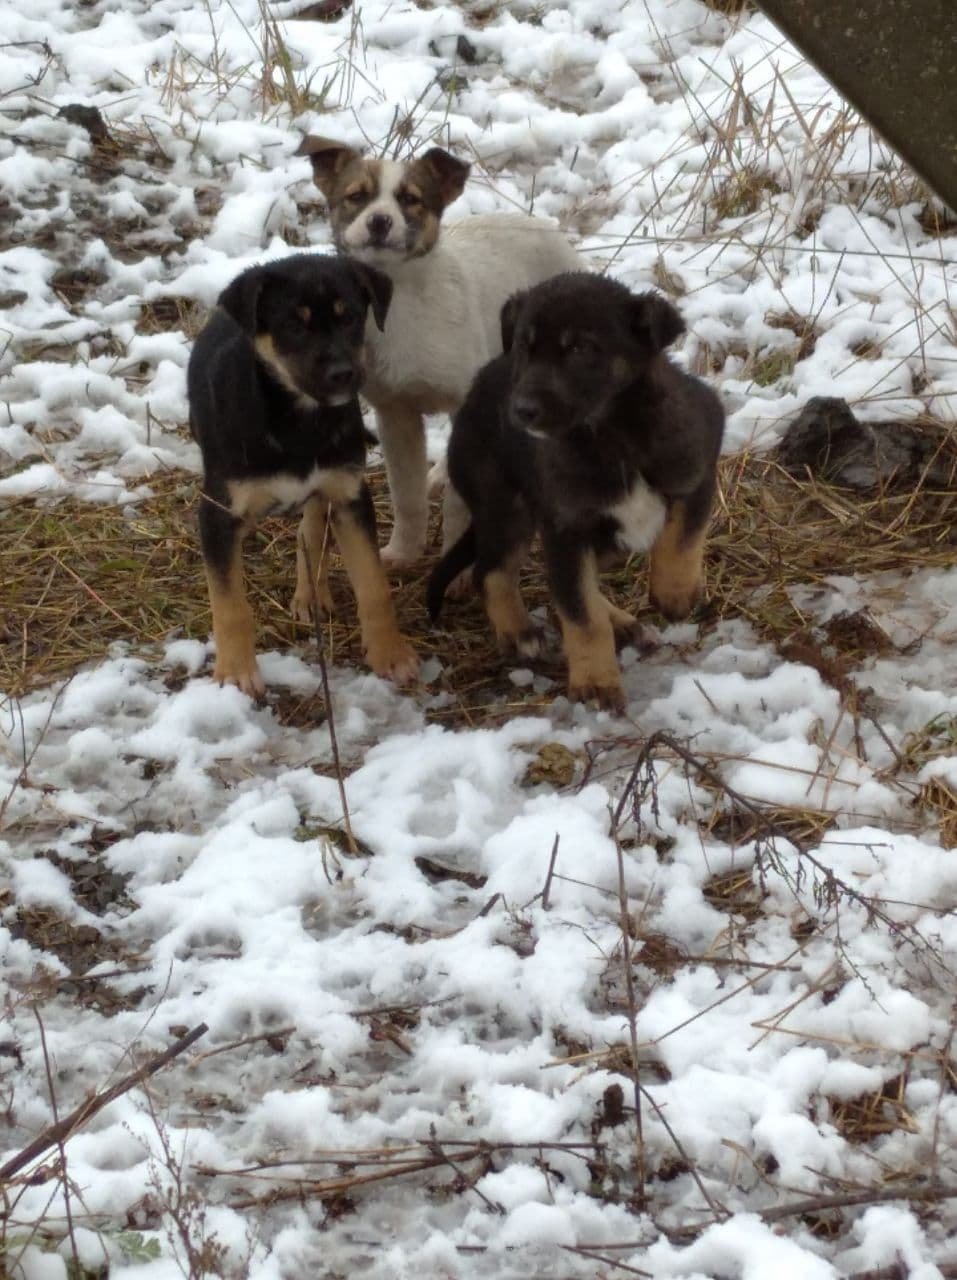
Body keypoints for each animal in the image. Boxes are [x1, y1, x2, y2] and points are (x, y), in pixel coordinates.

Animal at [190, 250, 419, 696]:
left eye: (351, 318)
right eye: (294, 326)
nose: (343, 374)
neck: (298, 421)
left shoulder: (350, 497)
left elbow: (374, 586)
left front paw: (390, 656)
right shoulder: (218, 514)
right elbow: (230, 605)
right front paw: (235, 674)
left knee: (309, 527)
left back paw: (310, 594)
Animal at [299, 133, 583, 565]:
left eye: (411, 199)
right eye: (356, 196)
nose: (379, 222)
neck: (404, 301)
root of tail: (544, 226)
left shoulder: (463, 402)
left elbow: (459, 506)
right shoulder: (395, 413)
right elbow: (407, 495)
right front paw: (402, 552)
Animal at [427, 272, 726, 711]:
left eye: (581, 349)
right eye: (524, 347)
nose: (521, 412)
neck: (608, 437)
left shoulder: (697, 464)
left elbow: (684, 536)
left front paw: (676, 593)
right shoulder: (566, 528)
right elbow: (582, 616)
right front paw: (596, 684)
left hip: (600, 540)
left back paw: (622, 623)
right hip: (506, 506)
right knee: (492, 571)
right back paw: (520, 633)